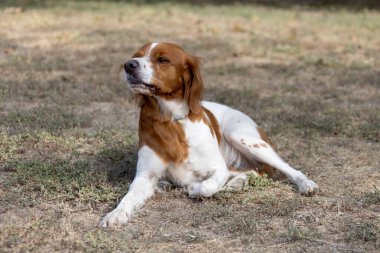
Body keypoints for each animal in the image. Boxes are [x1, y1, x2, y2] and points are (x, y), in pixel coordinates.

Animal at [98, 42, 318, 228]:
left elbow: (207, 186)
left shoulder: (217, 167)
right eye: (136, 55)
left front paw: (193, 188)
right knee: (249, 171)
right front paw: (115, 214)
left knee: (287, 169)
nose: (129, 65)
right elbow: (128, 197)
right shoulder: (145, 175)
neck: (172, 120)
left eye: (162, 59)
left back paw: (306, 184)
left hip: (242, 137)